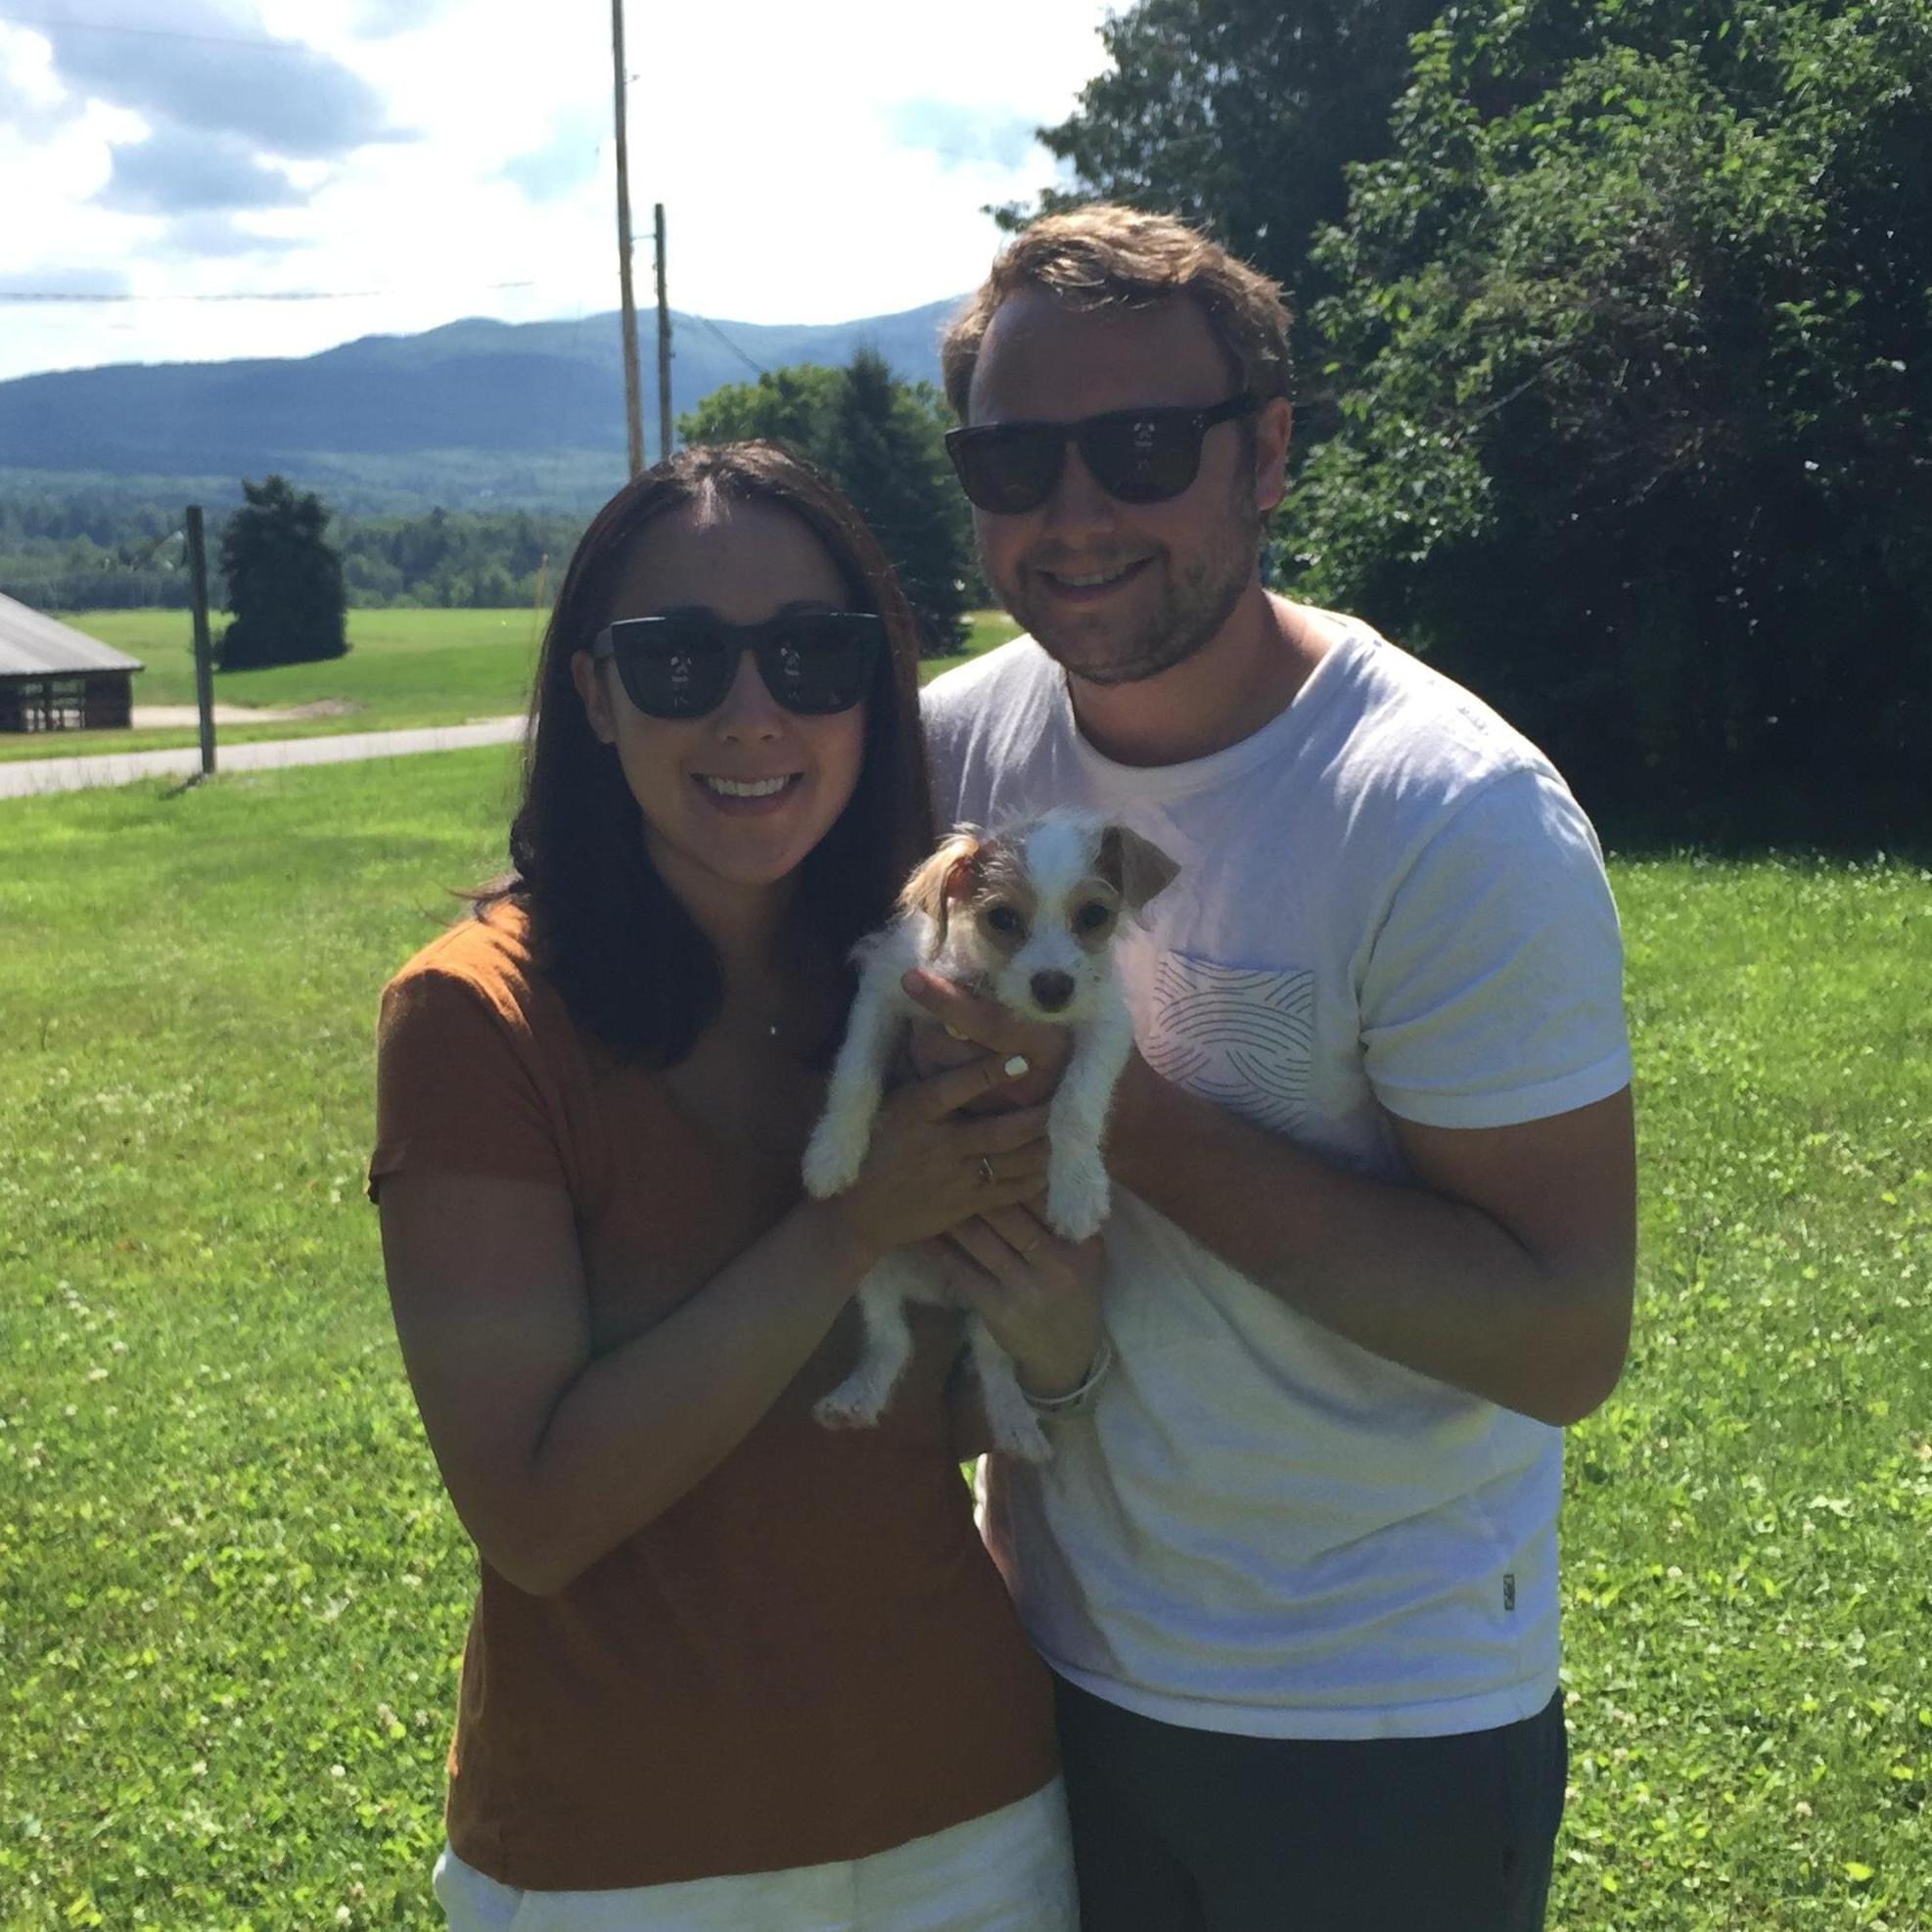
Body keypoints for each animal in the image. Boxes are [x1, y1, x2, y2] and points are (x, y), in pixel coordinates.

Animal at [800, 807, 1174, 1452]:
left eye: (1093, 916)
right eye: (1002, 918)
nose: (1053, 987)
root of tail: (944, 1293)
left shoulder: (1105, 1024)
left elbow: (1076, 1106)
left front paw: (1077, 1192)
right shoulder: (885, 992)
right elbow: (854, 1077)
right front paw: (833, 1154)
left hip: (1004, 1307)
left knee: (992, 1362)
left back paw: (1016, 1425)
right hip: (872, 1265)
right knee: (891, 1341)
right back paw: (859, 1396)